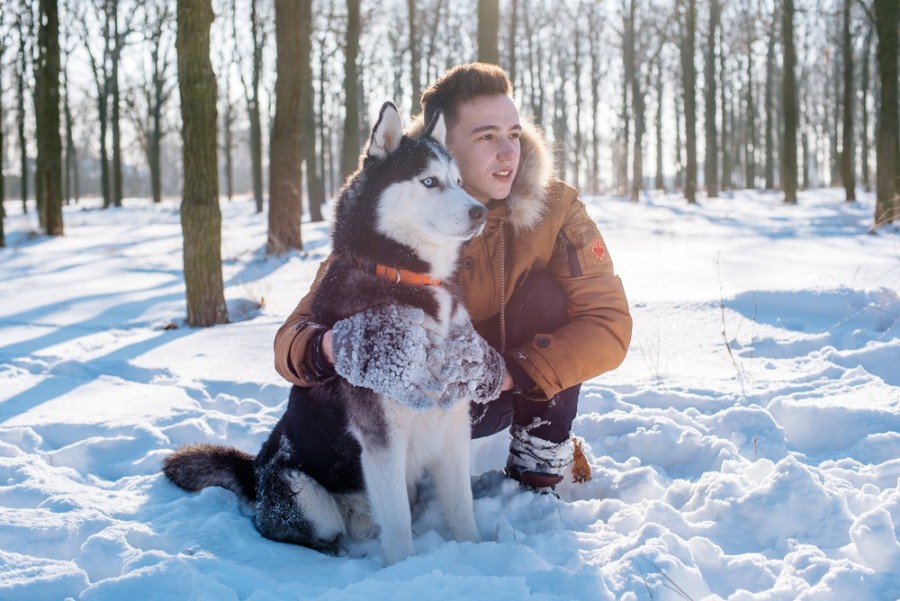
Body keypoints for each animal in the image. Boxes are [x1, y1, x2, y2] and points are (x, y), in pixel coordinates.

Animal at [167, 102, 492, 564]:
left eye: (459, 182)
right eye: (429, 181)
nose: (481, 211)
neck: (403, 276)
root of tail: (255, 470)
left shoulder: (452, 424)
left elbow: (463, 510)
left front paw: (476, 552)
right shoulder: (381, 440)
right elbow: (398, 527)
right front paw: (406, 570)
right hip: (306, 497)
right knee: (300, 532)